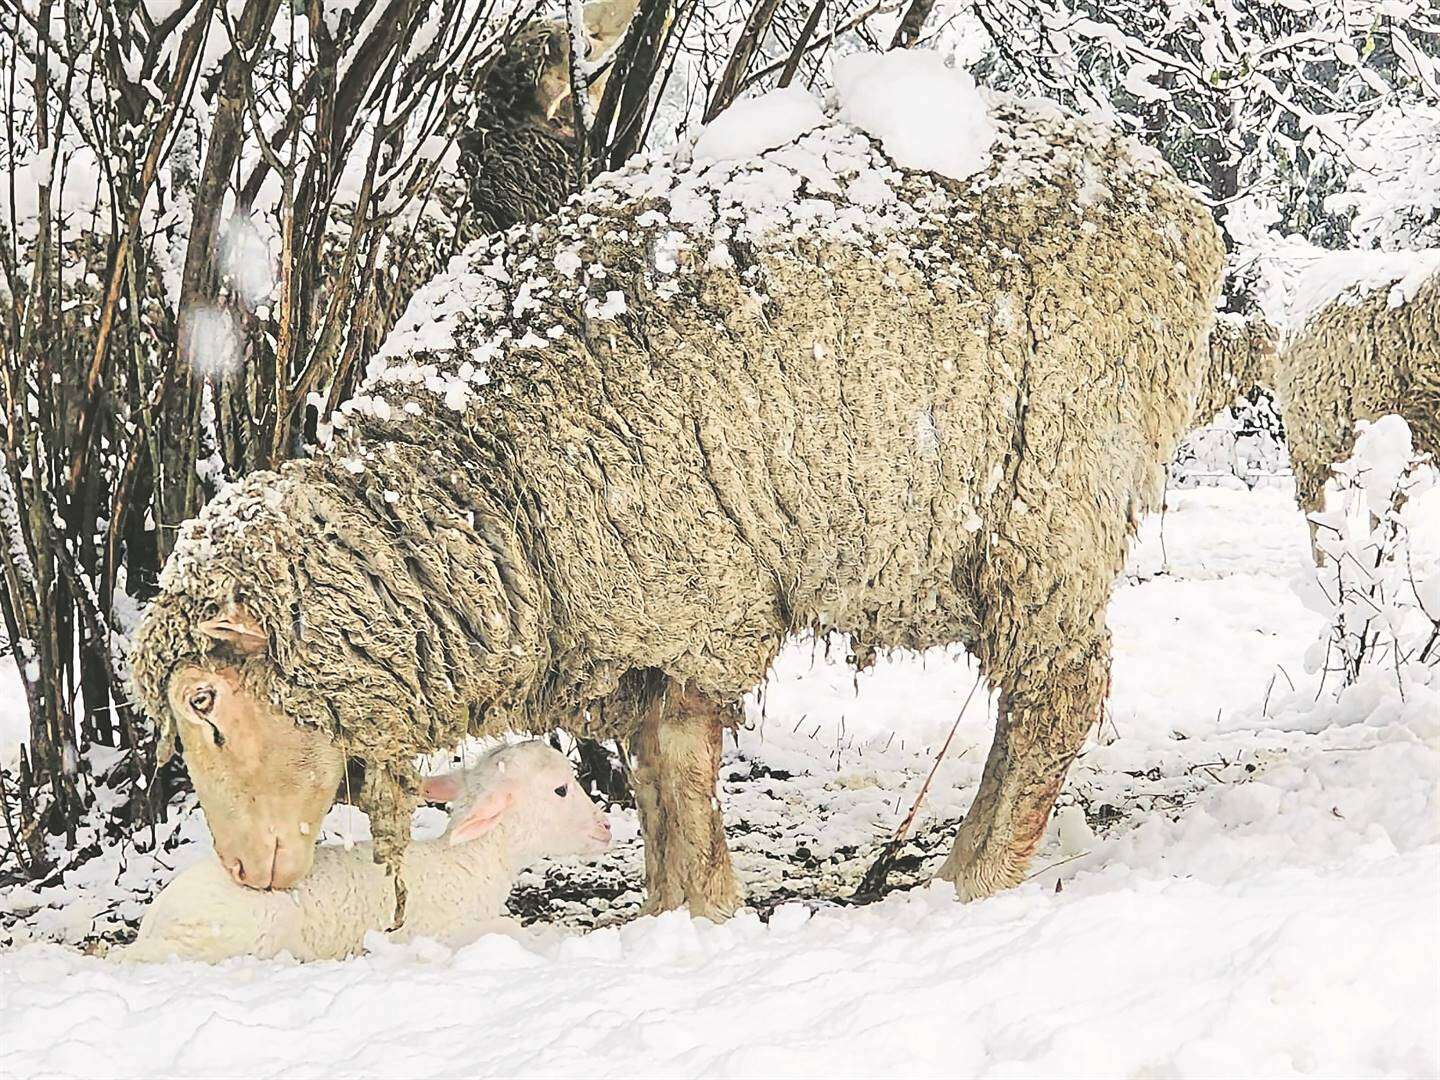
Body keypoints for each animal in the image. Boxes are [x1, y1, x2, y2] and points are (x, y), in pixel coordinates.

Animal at [123, 743, 613, 961]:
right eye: (561, 790)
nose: (606, 827)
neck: (469, 863)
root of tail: (149, 930)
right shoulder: (439, 932)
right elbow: (513, 930)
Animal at [129, 86, 1221, 921]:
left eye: (205, 702)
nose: (244, 874)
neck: (483, 488)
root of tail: (1175, 200)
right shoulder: (631, 629)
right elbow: (654, 778)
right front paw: (667, 906)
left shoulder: (697, 594)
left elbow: (680, 766)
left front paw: (700, 911)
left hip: (1055, 483)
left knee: (1058, 693)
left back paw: (980, 876)